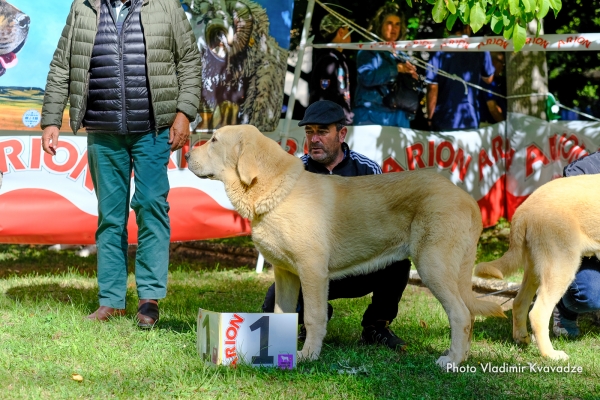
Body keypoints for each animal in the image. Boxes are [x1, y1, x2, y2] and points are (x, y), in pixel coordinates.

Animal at [188, 126, 506, 368]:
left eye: (214, 140)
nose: (187, 153)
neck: (271, 189)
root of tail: (468, 198)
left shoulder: (312, 272)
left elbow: (313, 317)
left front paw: (308, 355)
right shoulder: (285, 274)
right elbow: (281, 314)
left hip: (432, 266)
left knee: (461, 314)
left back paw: (452, 360)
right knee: (467, 313)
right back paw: (462, 357)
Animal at [474, 174, 600, 360]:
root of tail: (524, 208)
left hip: (535, 269)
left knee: (519, 303)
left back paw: (521, 338)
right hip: (561, 267)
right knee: (538, 313)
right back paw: (551, 354)